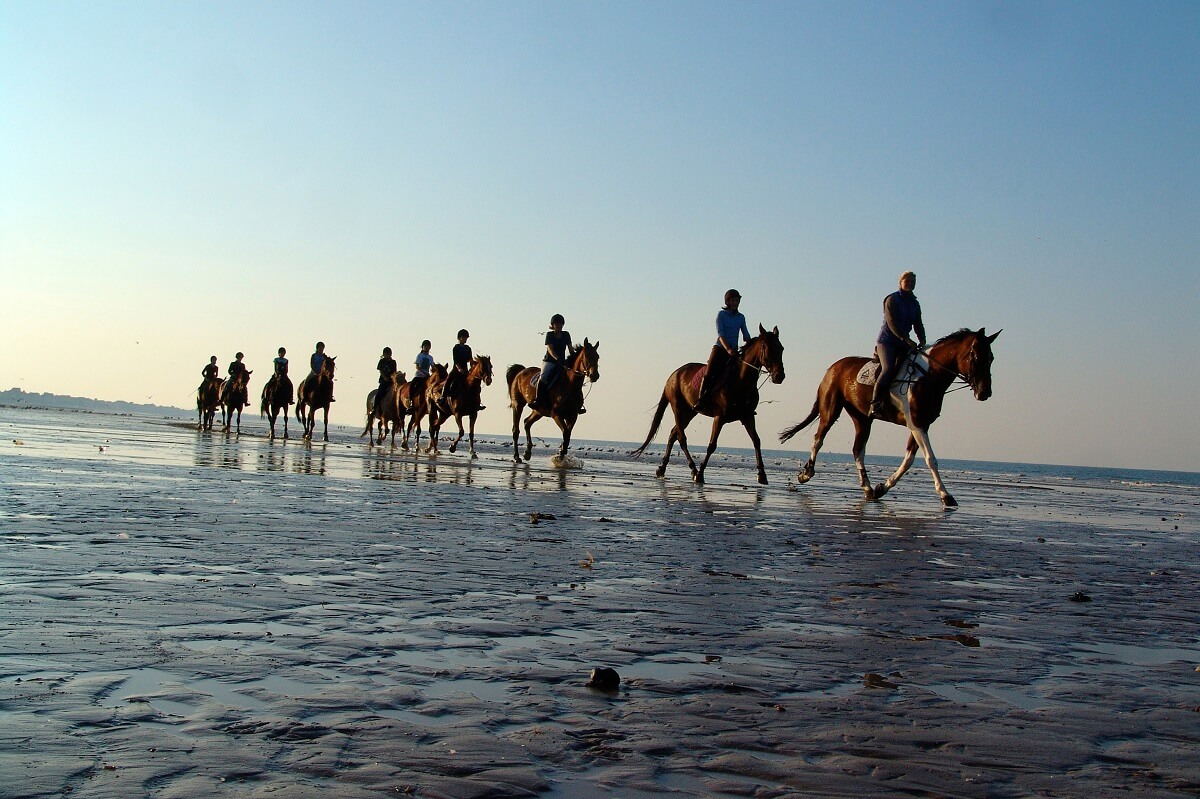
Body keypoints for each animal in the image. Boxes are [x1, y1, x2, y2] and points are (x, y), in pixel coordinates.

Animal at [628, 323, 787, 484]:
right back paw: (693, 470)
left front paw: (762, 474)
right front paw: (701, 474)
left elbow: (756, 441)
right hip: (678, 408)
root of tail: (672, 376)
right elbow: (712, 445)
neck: (741, 381)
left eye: (781, 348)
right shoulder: (720, 417)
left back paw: (662, 468)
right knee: (681, 437)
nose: (779, 376)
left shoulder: (747, 416)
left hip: (689, 412)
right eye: (766, 348)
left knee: (674, 434)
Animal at [777, 328, 1003, 503]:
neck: (927, 376)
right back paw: (806, 474)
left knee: (858, 449)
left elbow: (909, 460)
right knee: (818, 438)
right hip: (830, 409)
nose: (985, 392)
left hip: (862, 418)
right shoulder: (917, 424)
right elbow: (931, 459)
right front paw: (946, 495)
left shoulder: (920, 425)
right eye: (975, 357)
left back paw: (867, 488)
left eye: (991, 358)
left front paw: (882, 487)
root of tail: (832, 368)